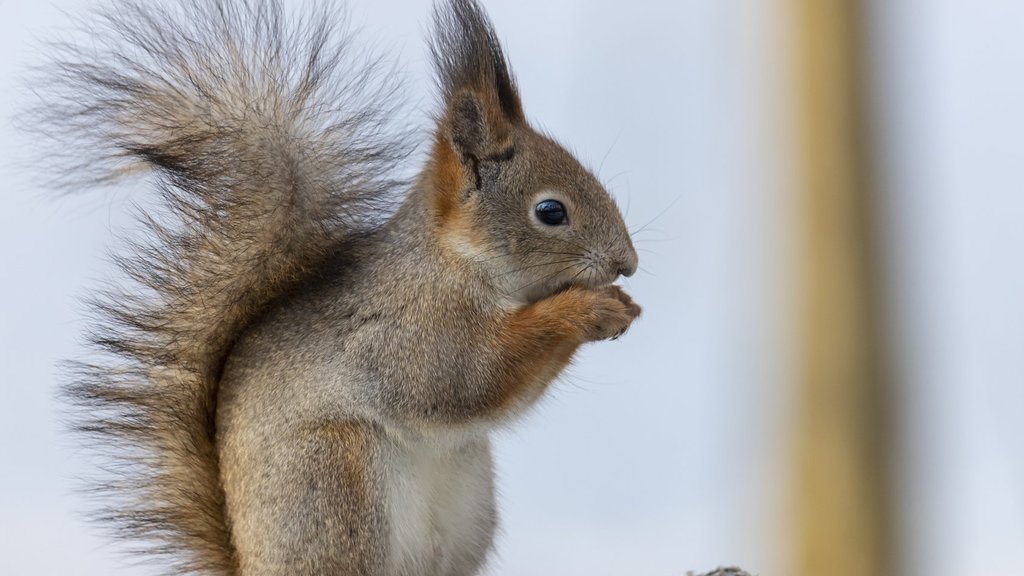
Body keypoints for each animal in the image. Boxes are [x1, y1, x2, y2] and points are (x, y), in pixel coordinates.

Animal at [34, 0, 638, 569]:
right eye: (551, 211)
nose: (627, 264)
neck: (455, 263)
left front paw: (620, 304)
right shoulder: (412, 332)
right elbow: (472, 379)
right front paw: (588, 310)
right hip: (333, 481)